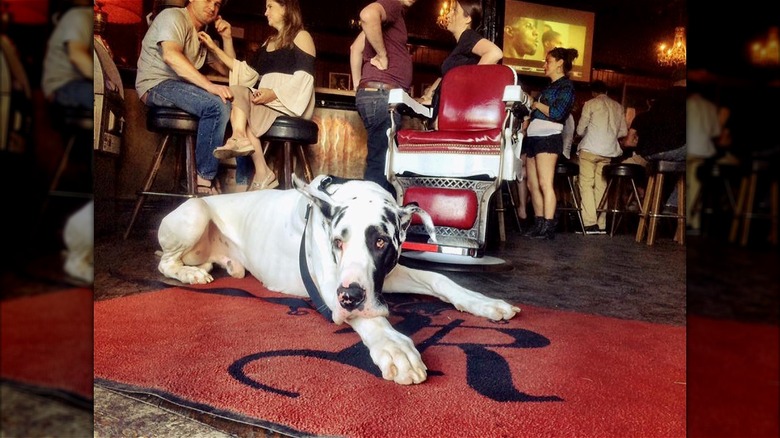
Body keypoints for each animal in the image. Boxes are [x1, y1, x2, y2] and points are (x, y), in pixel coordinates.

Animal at [156, 174, 520, 384]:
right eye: (337, 242)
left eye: (380, 242)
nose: (350, 297)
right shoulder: (334, 291)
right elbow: (373, 320)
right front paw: (394, 345)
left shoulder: (387, 274)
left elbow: (440, 279)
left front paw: (484, 303)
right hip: (196, 212)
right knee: (164, 262)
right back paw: (190, 273)